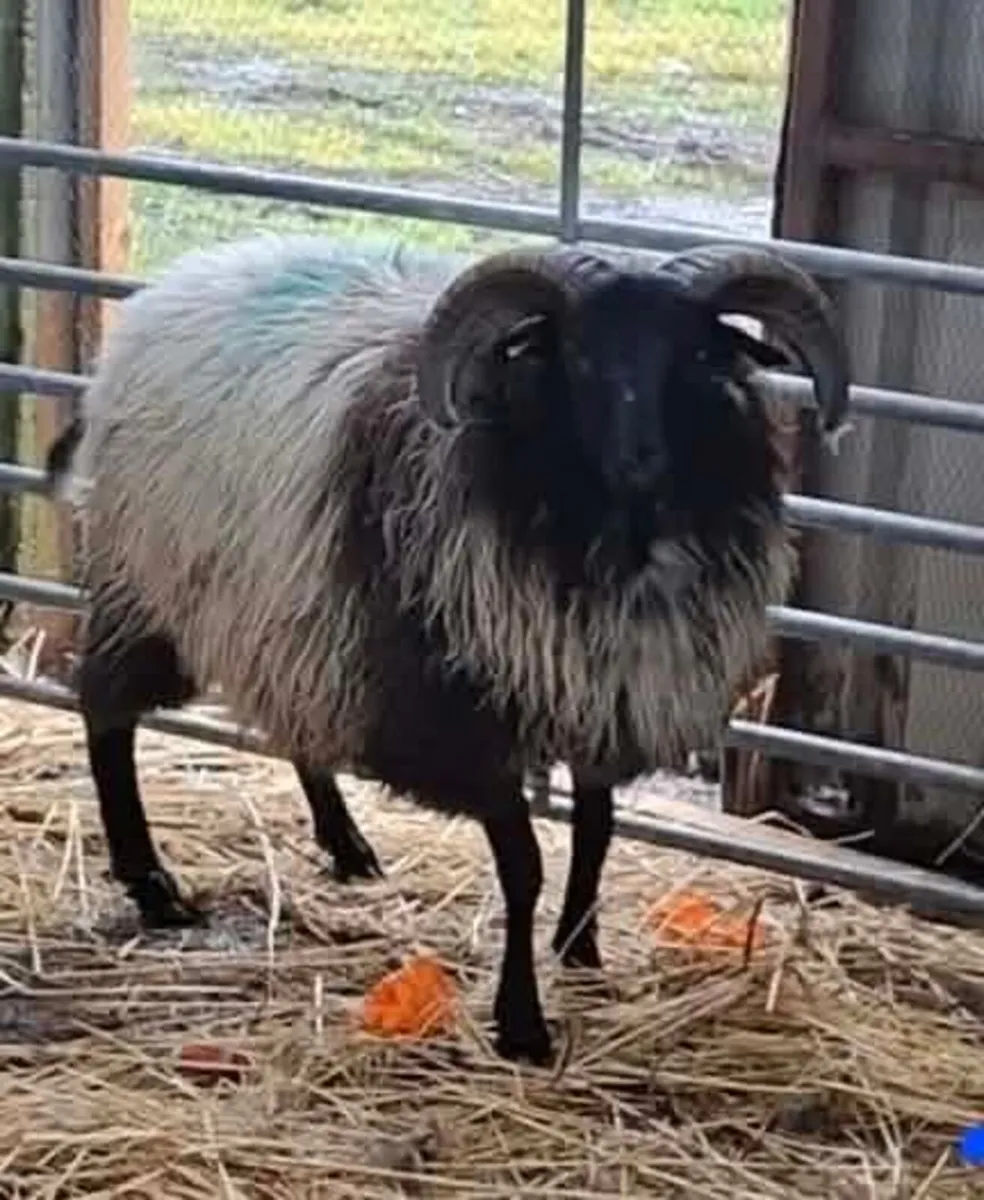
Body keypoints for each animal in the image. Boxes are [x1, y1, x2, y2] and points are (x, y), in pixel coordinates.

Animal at [45, 232, 849, 1064]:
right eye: (576, 354)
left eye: (697, 353)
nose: (641, 462)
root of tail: (175, 283)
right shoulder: (465, 718)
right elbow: (523, 867)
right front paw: (522, 1022)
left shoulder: (601, 689)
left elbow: (596, 833)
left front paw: (581, 950)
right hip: (152, 593)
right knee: (105, 710)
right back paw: (151, 883)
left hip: (288, 608)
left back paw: (346, 846)